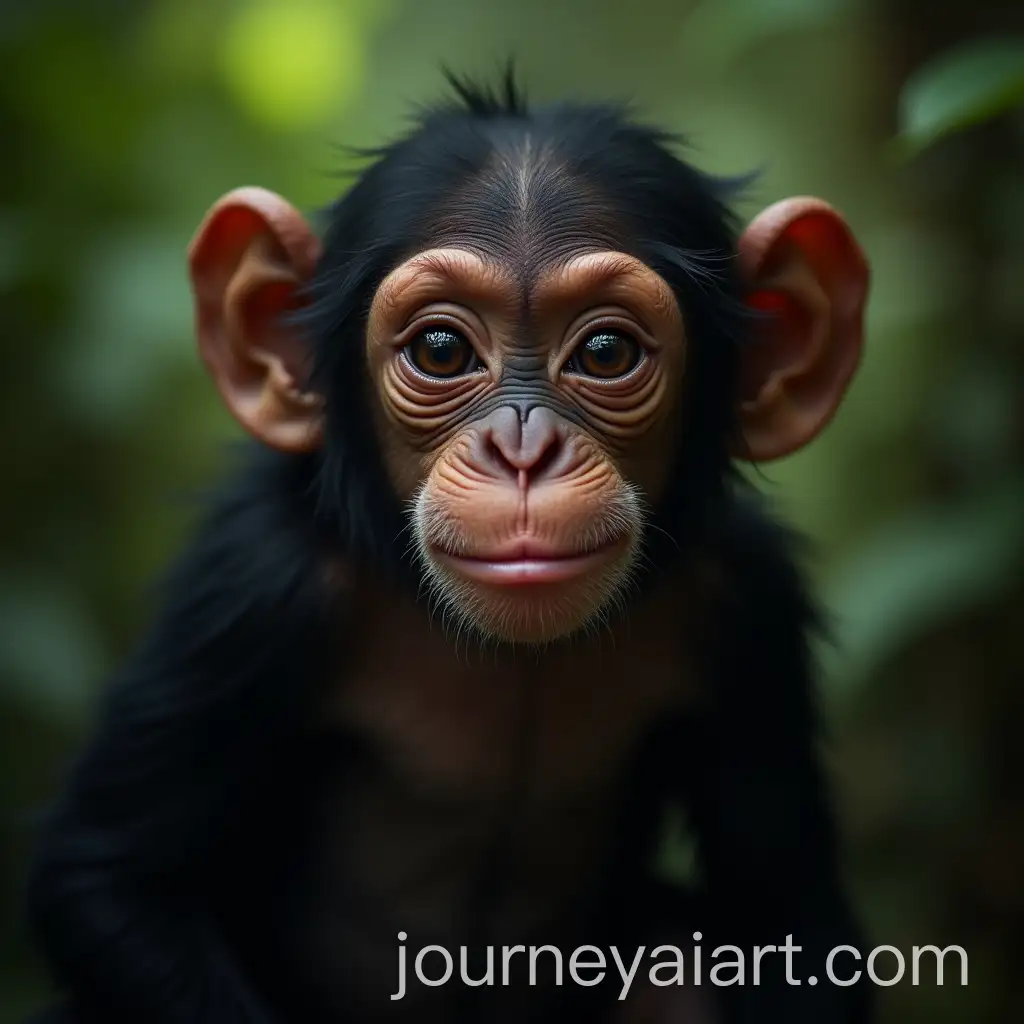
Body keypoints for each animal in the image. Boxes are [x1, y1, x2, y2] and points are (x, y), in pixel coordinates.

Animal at [25, 72, 871, 1024]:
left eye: (606, 351)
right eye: (440, 349)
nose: (523, 453)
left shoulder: (750, 601)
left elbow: (784, 912)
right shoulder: (252, 584)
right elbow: (111, 875)